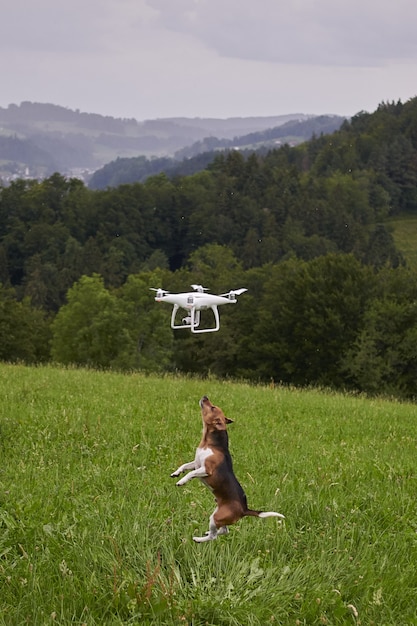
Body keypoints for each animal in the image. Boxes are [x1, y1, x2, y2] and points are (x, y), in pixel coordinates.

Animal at [169, 392, 282, 540]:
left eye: (212, 407)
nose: (205, 396)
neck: (210, 443)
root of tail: (244, 510)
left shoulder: (206, 469)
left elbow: (190, 473)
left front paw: (181, 481)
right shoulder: (196, 463)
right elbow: (184, 466)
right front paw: (176, 473)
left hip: (216, 517)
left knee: (214, 536)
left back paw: (198, 539)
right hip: (218, 516)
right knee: (224, 531)